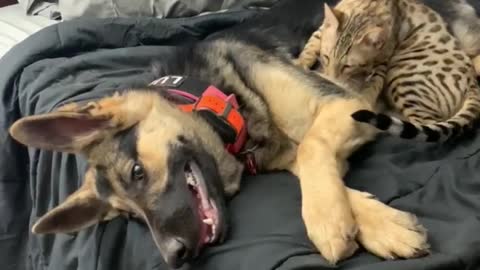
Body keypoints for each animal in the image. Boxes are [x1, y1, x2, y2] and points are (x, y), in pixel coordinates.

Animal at [7, 0, 428, 268]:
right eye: (130, 218)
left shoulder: (341, 105)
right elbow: (319, 172)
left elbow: (313, 148)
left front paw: (329, 223)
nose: (175, 257)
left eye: (137, 173)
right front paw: (376, 223)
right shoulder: (308, 143)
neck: (217, 97)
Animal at [296, 0, 480, 142]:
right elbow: (309, 48)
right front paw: (300, 64)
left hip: (402, 77)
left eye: (348, 66)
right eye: (326, 57)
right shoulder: (321, 30)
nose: (331, 78)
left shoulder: (383, 62)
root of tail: (473, 83)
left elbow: (372, 86)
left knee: (424, 124)